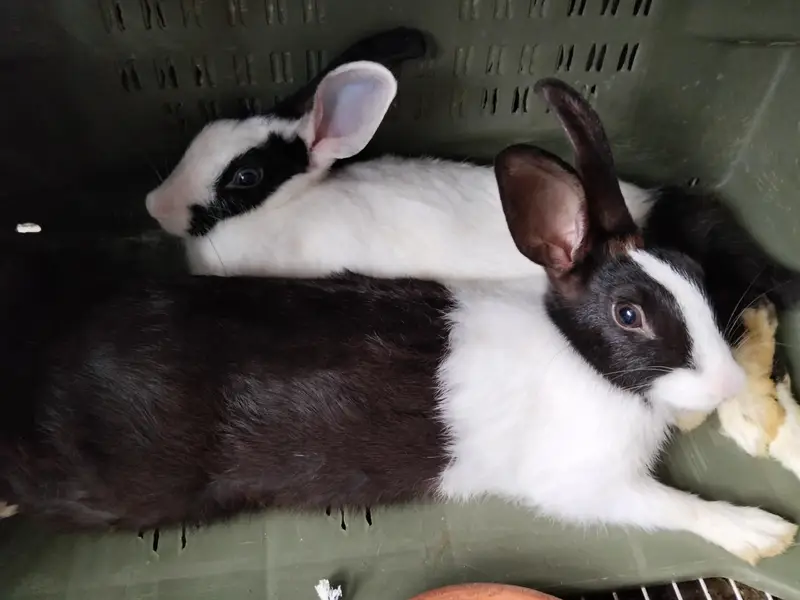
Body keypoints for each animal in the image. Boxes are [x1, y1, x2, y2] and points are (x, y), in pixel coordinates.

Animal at [2, 78, 797, 566]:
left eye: (692, 278)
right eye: (628, 314)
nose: (721, 387)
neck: (580, 357)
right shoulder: (590, 486)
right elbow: (674, 506)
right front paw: (763, 533)